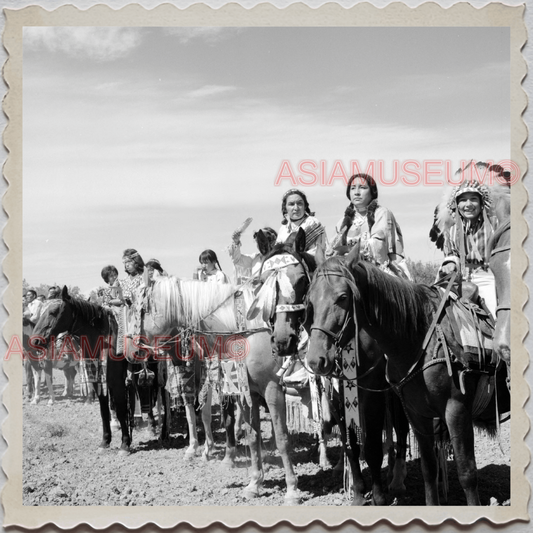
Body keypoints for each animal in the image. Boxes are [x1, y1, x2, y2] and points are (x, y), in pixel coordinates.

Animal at [304, 244, 508, 502]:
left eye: (342, 297)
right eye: (310, 300)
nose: (316, 359)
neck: (419, 337)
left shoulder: (456, 410)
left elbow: (467, 472)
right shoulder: (416, 413)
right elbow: (427, 469)